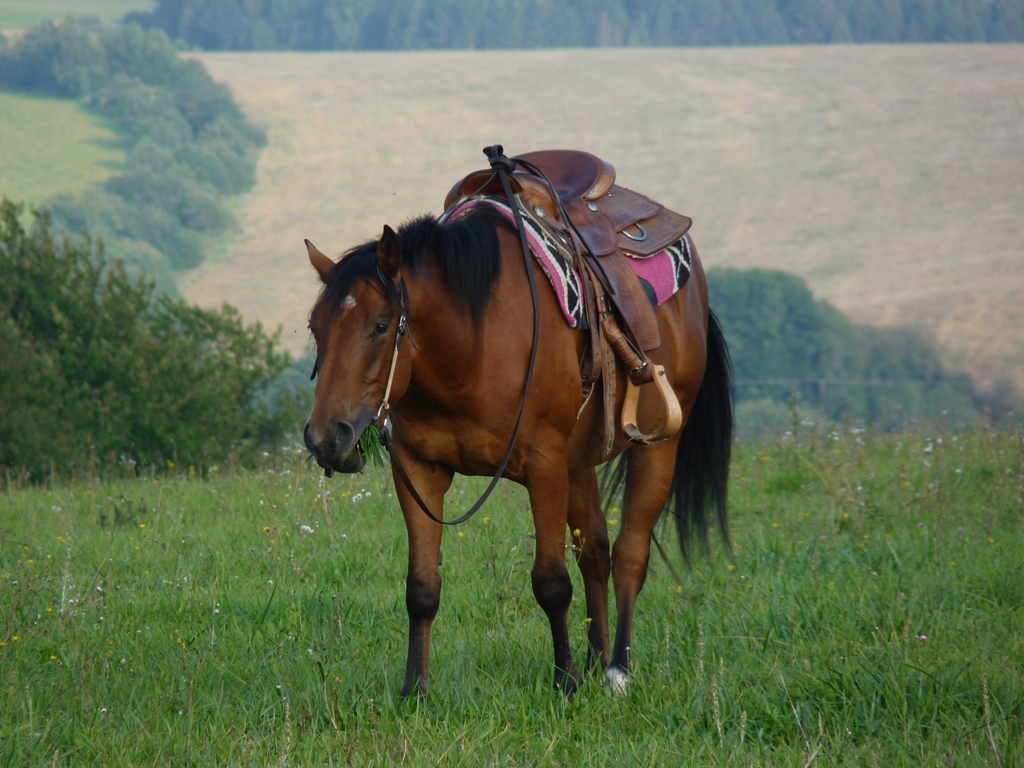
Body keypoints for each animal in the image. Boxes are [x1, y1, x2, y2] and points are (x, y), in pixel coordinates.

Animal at [299, 173, 733, 696]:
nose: (327, 437)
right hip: (578, 463)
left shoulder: (543, 465)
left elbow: (551, 582)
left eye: (381, 326)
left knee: (630, 553)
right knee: (595, 554)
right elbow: (421, 588)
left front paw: (565, 681)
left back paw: (616, 670)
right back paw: (597, 659)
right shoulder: (419, 472)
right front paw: (414, 691)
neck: (469, 345)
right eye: (314, 327)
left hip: (658, 445)